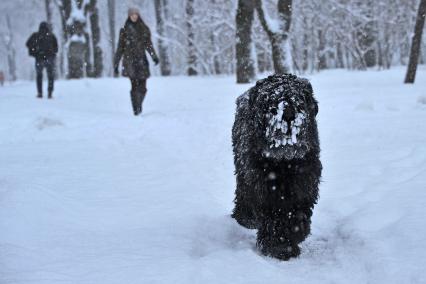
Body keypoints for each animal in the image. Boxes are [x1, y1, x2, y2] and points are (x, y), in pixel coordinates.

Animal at [231, 74, 322, 260]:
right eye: (268, 99)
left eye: (298, 98)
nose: (287, 113)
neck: (284, 162)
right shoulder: (265, 187)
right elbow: (275, 216)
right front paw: (279, 246)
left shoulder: (304, 182)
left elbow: (297, 213)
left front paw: (296, 235)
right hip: (243, 172)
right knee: (243, 192)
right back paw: (245, 218)